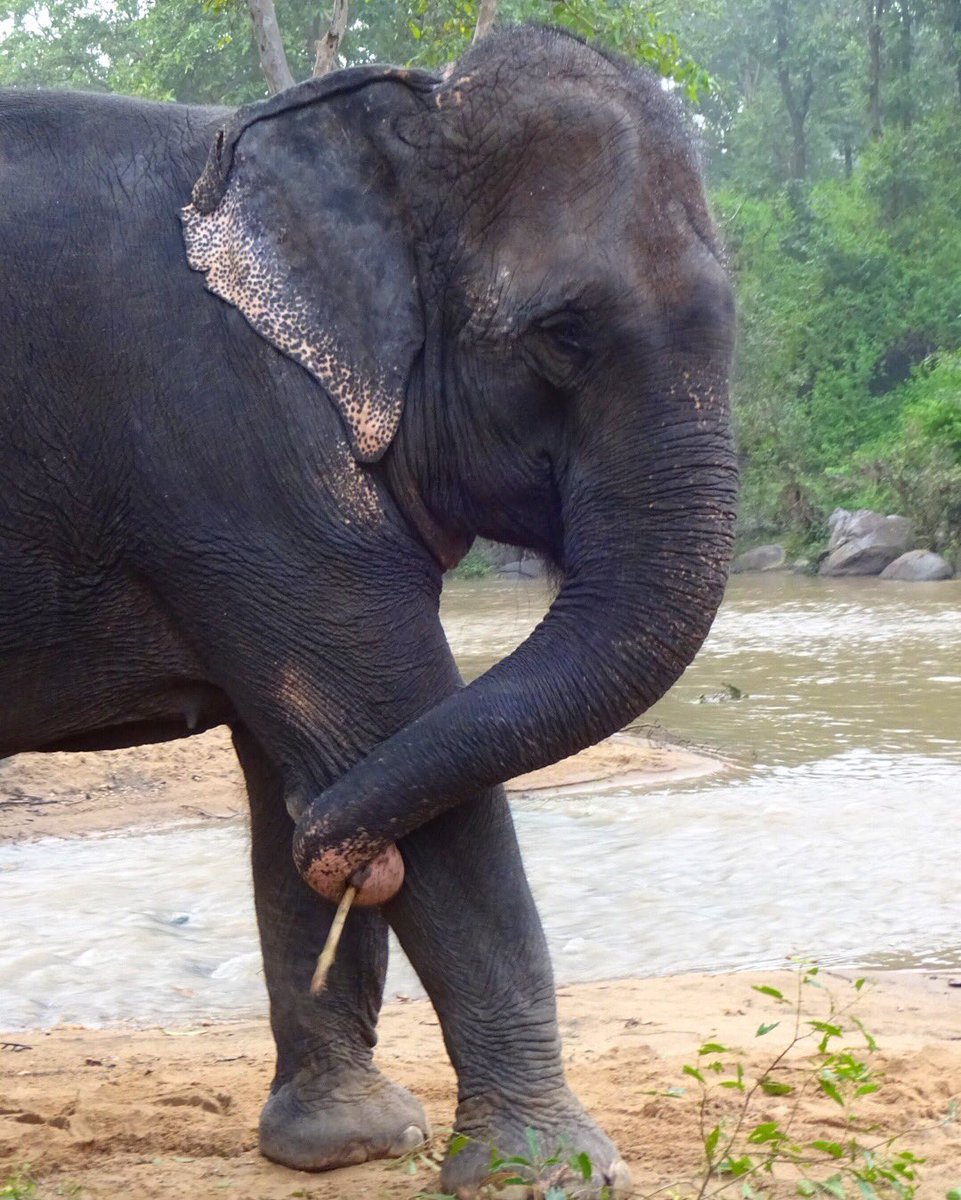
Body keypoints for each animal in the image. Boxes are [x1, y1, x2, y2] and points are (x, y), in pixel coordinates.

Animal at [0, 24, 736, 1198]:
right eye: (563, 335)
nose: (351, 855)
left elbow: (299, 762)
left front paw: (347, 1143)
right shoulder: (240, 446)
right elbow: (377, 723)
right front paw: (547, 1171)